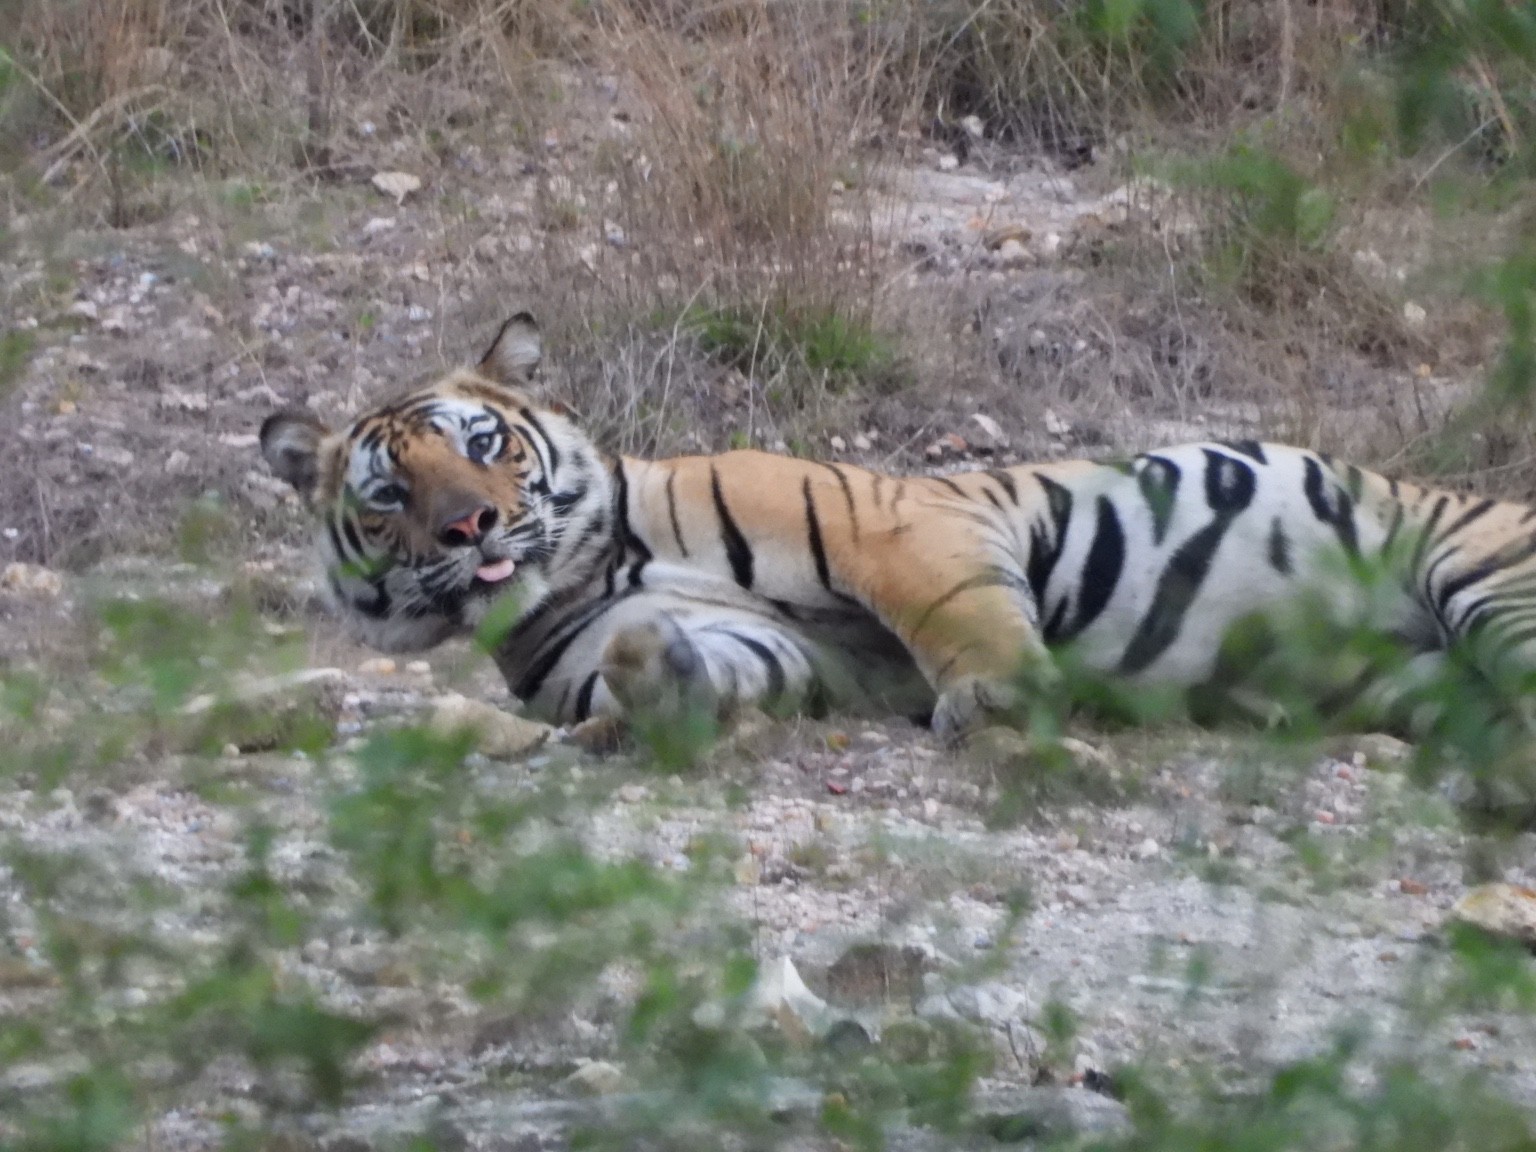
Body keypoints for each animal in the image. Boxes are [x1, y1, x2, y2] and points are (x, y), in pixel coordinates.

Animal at [258, 312, 1536, 742]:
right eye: (389, 494)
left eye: (482, 444)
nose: (473, 527)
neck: (588, 571)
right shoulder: (801, 655)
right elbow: (691, 661)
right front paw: (643, 669)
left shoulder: (899, 524)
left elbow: (958, 620)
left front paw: (1002, 701)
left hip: (1486, 576)